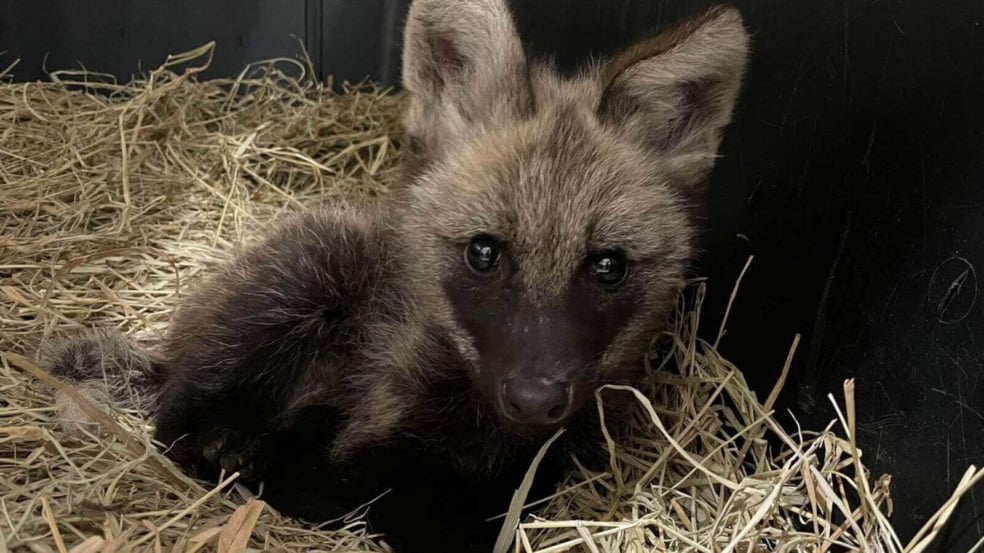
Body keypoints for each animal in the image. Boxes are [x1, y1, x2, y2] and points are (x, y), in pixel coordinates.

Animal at [41, 1, 750, 550]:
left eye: (607, 265)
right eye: (484, 252)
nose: (534, 398)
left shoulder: (532, 463)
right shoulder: (356, 439)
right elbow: (365, 490)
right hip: (312, 269)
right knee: (175, 417)